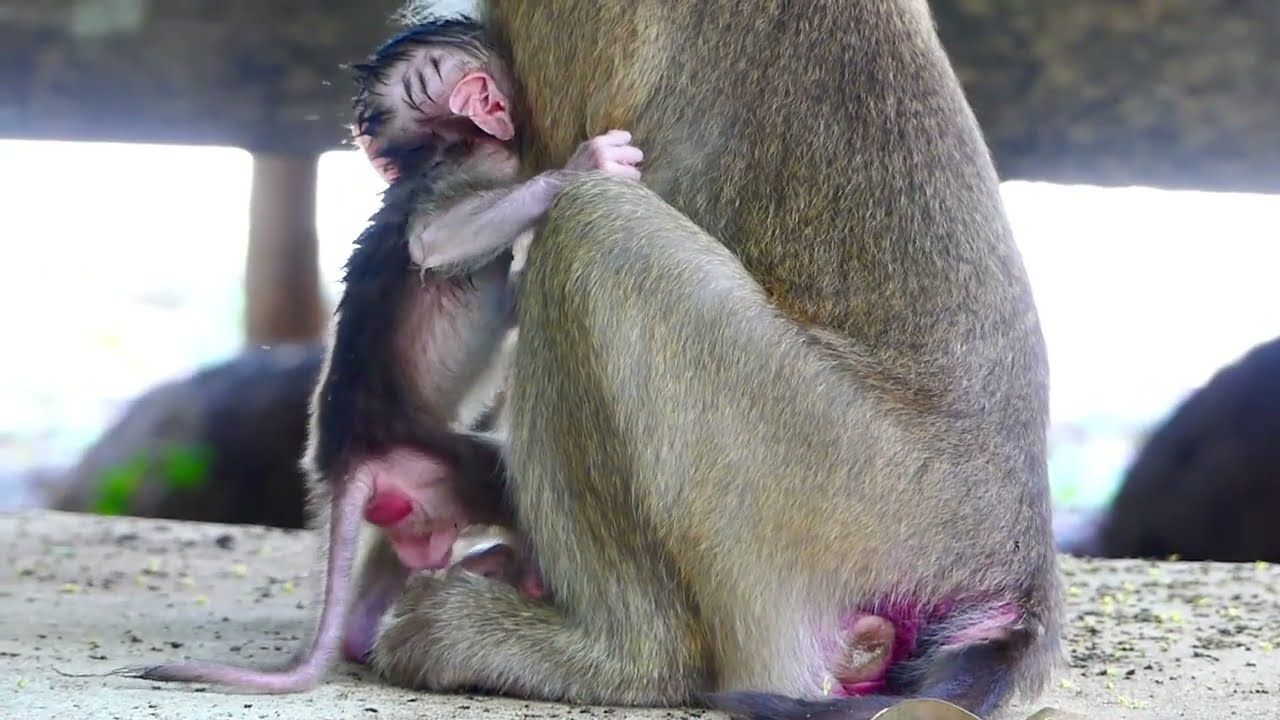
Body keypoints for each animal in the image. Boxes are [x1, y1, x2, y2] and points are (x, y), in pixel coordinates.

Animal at [129, 18, 642, 693]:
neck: (435, 150)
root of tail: (353, 457)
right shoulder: (475, 167)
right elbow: (433, 241)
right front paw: (582, 166)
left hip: (415, 503)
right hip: (436, 465)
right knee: (505, 482)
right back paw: (520, 574)